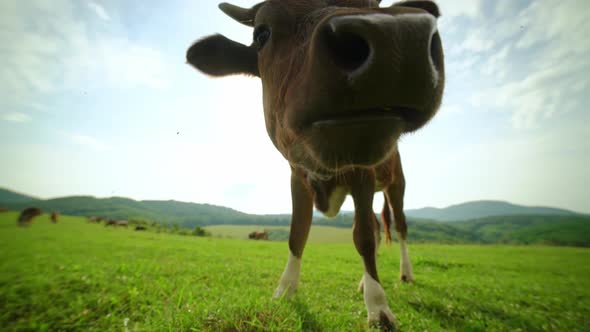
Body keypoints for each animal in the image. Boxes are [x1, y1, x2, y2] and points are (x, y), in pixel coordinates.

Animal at [187, 0, 446, 328]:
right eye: (261, 34)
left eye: (373, 4)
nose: (396, 35)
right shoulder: (298, 178)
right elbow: (297, 233)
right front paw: (285, 290)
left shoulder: (361, 175)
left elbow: (362, 236)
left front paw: (378, 306)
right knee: (378, 226)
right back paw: (363, 282)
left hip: (395, 184)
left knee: (398, 226)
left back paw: (405, 273)